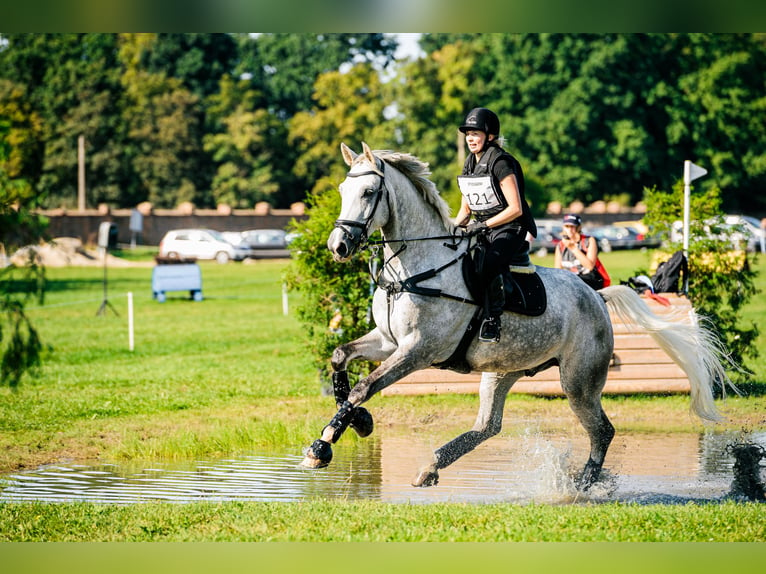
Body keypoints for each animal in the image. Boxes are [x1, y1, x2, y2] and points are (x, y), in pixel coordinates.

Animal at [302, 142, 736, 488]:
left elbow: (364, 386)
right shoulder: (388, 341)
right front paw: (357, 421)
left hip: (578, 382)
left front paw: (323, 443)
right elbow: (340, 358)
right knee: (488, 426)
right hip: (502, 371)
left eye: (369, 191)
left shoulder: (419, 350)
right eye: (342, 190)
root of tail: (596, 297)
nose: (338, 246)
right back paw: (431, 466)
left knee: (602, 430)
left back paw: (582, 485)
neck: (415, 268)